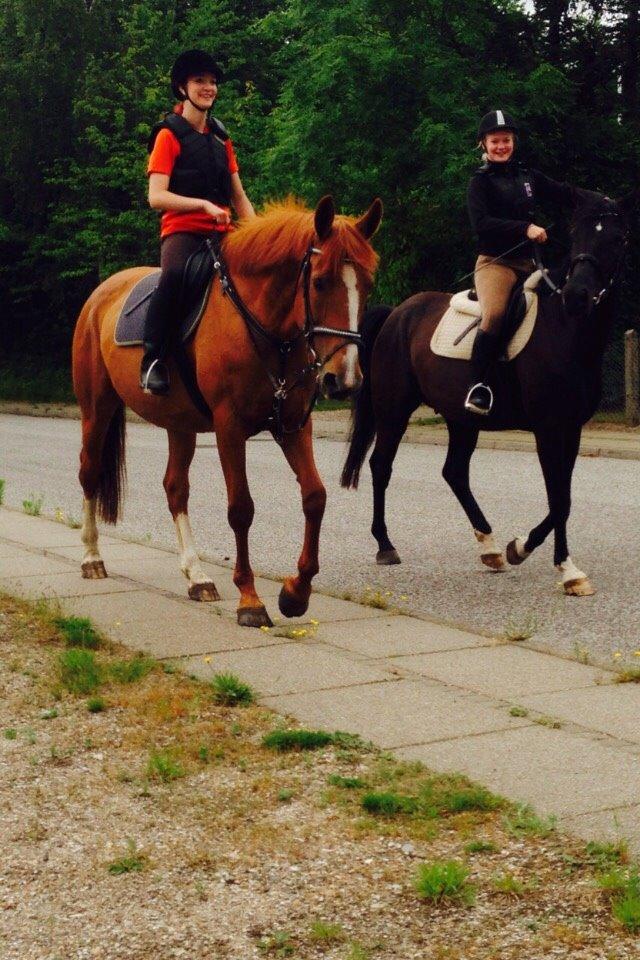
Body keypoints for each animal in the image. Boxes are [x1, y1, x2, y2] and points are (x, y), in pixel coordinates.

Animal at [71, 197, 380, 632]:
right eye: (319, 281)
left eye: (367, 284)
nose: (345, 379)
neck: (266, 328)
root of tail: (100, 294)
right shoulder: (228, 427)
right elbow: (241, 509)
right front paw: (250, 599)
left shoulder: (292, 426)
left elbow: (315, 497)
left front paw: (295, 593)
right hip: (97, 408)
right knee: (90, 473)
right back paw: (92, 558)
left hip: (179, 425)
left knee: (175, 488)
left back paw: (197, 576)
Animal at [342, 187, 632, 592]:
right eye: (577, 235)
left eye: (617, 239)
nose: (576, 295)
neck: (565, 330)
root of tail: (397, 313)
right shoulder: (548, 428)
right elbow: (558, 499)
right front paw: (563, 568)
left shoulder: (571, 428)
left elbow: (564, 498)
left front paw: (522, 549)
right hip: (394, 408)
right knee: (381, 465)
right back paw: (386, 545)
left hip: (461, 419)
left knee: (454, 472)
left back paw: (491, 548)